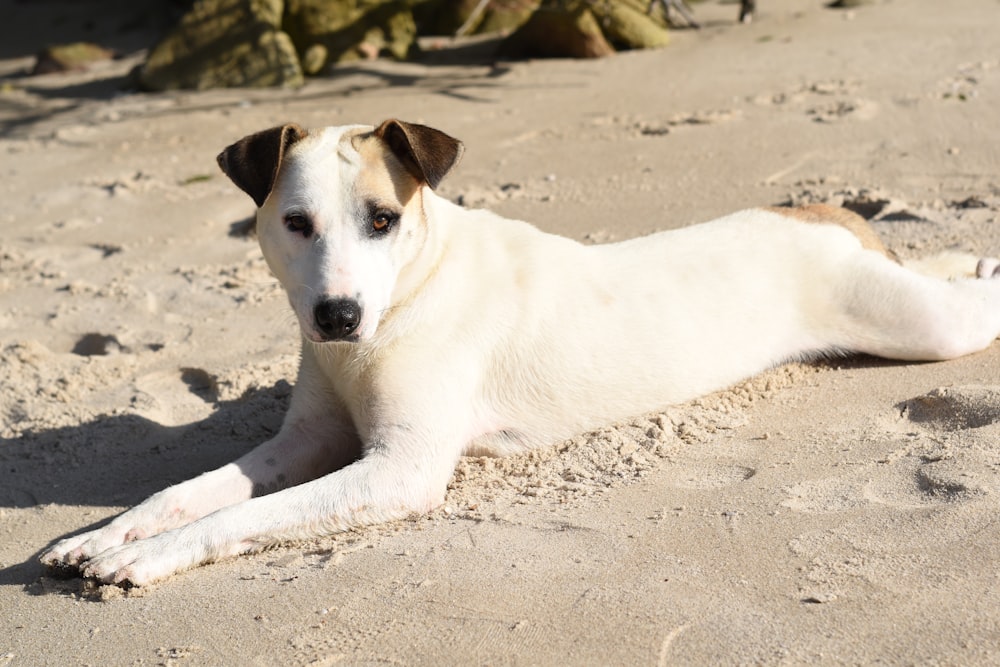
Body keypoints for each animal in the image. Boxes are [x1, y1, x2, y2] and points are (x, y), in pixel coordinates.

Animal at [43, 118, 1000, 584]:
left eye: (382, 219)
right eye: (296, 223)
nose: (338, 315)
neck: (410, 292)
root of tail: (814, 212)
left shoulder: (397, 470)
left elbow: (238, 516)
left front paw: (141, 557)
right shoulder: (303, 442)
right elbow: (186, 491)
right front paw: (106, 533)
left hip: (918, 327)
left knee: (971, 303)